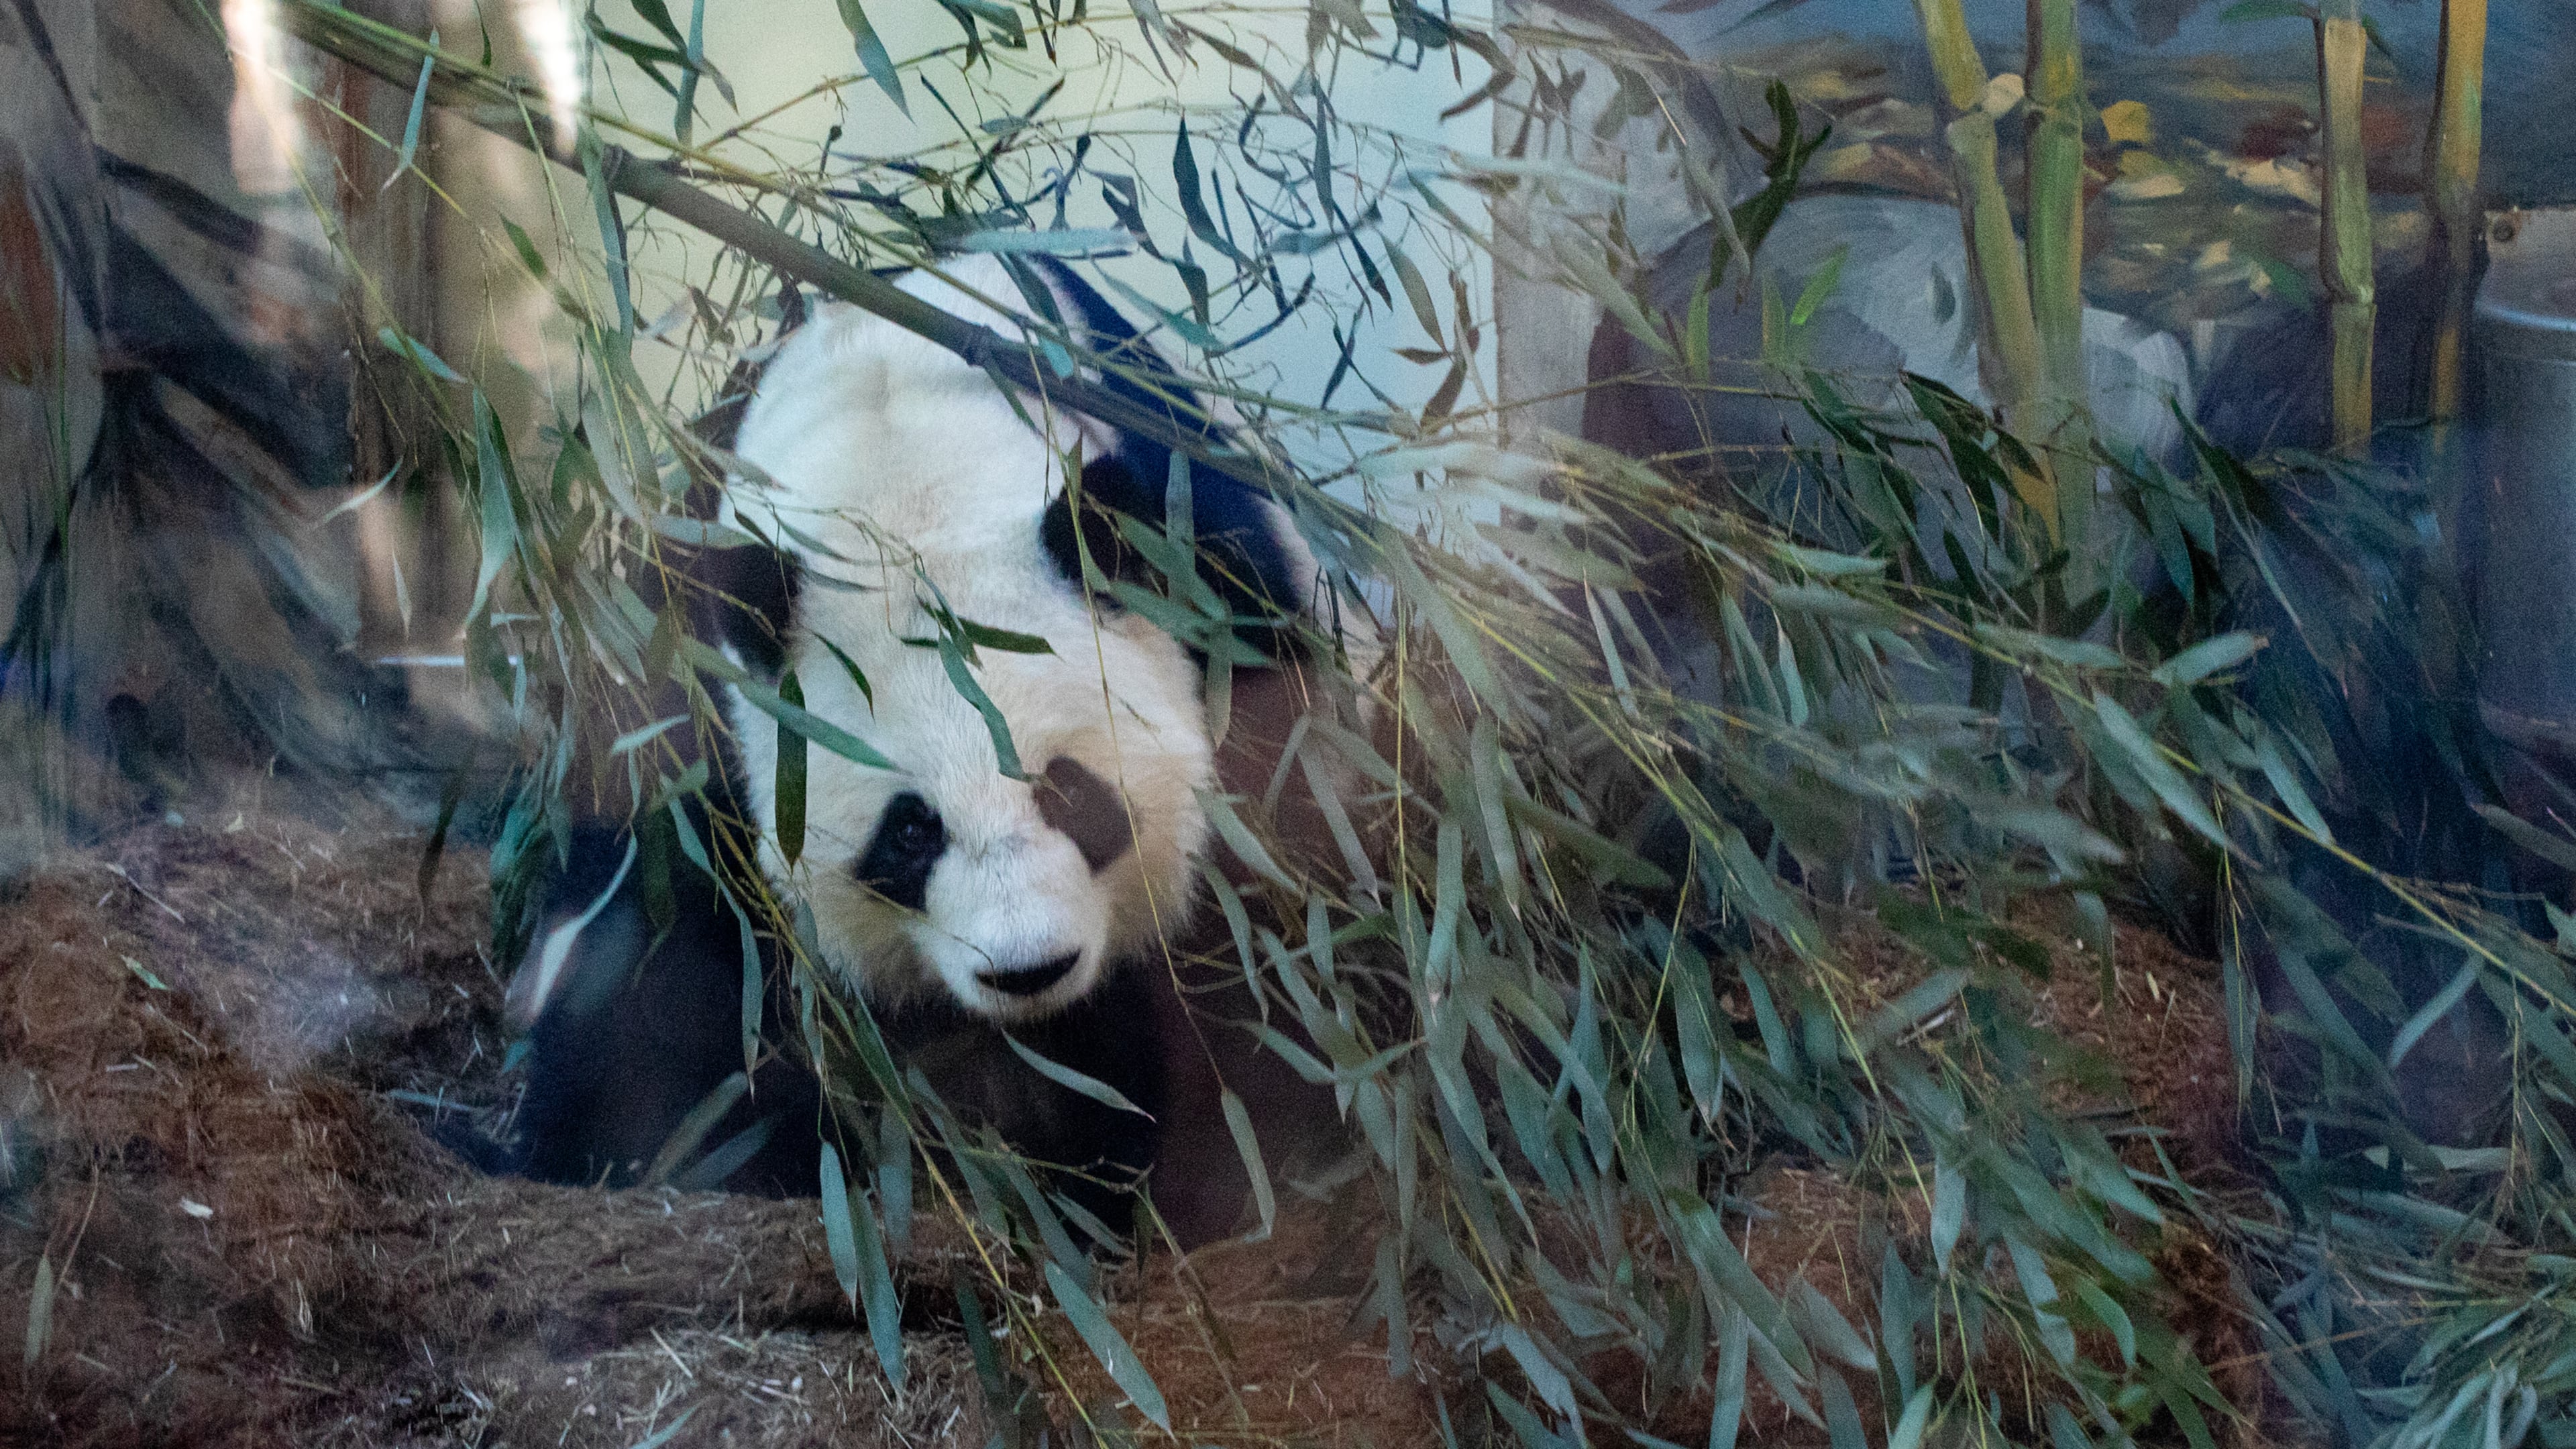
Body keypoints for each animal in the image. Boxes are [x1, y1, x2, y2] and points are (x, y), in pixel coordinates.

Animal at [480, 253, 1358, 1228]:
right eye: (910, 830)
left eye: (1069, 790)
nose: (1029, 970)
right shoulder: (703, 705)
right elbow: (663, 966)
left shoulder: (1224, 596)